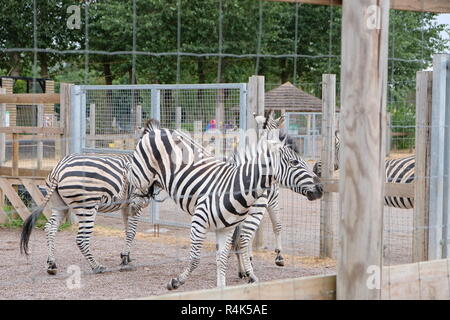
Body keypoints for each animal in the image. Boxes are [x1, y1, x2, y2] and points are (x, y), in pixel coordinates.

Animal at [20, 152, 157, 276]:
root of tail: (59, 168)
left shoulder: (126, 206)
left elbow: (127, 230)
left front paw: (126, 256)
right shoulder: (136, 204)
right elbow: (131, 232)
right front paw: (125, 259)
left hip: (59, 205)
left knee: (50, 228)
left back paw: (51, 264)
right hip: (87, 207)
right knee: (81, 238)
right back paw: (96, 266)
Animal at [126, 119, 324, 288]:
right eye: (294, 162)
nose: (321, 188)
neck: (236, 186)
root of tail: (158, 130)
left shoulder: (227, 229)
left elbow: (223, 257)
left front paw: (225, 285)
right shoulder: (199, 223)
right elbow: (196, 258)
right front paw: (177, 281)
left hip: (156, 180)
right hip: (141, 175)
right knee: (132, 184)